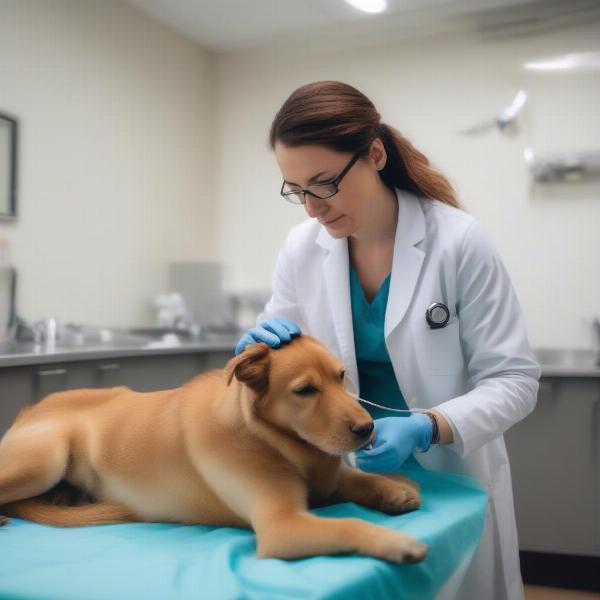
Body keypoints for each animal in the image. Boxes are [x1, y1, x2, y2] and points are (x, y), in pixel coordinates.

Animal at [0, 336, 426, 564]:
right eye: (305, 390)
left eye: (341, 377)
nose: (368, 429)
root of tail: (30, 410)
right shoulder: (281, 524)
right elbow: (350, 523)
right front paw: (395, 542)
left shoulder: (327, 480)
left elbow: (356, 478)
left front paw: (392, 488)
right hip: (46, 458)